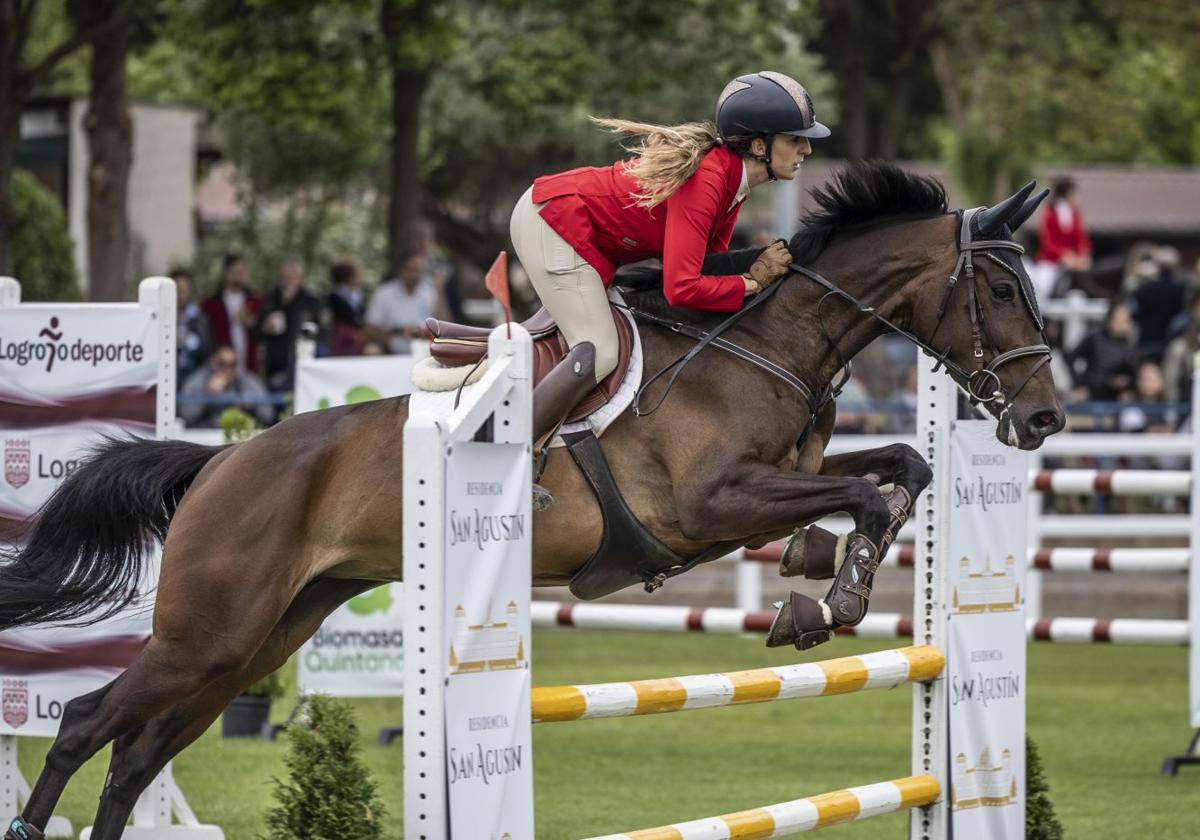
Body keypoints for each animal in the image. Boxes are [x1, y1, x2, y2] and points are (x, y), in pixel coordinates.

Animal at [0, 160, 1060, 835]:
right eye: (1005, 292)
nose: (1044, 417)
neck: (769, 345)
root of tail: (220, 463)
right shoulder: (712, 506)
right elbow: (862, 495)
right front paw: (827, 598)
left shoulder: (779, 479)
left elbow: (902, 468)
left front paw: (815, 576)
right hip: (210, 633)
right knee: (87, 724)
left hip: (257, 640)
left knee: (135, 756)